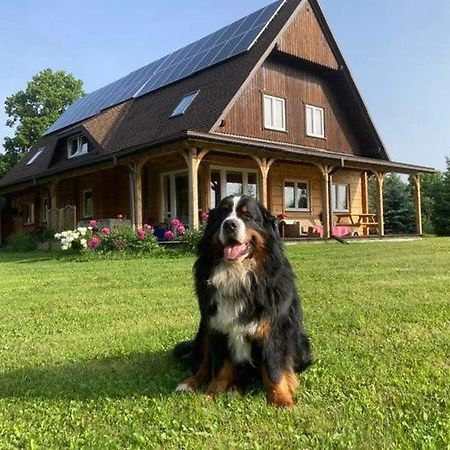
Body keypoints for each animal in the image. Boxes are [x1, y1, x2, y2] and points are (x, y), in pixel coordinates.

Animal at [174, 195, 312, 406]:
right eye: (222, 213)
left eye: (247, 216)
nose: (229, 225)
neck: (238, 275)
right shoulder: (217, 327)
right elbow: (220, 368)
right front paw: (211, 394)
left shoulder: (272, 330)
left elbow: (275, 370)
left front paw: (282, 400)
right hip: (204, 331)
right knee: (203, 365)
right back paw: (191, 384)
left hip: (302, 345)